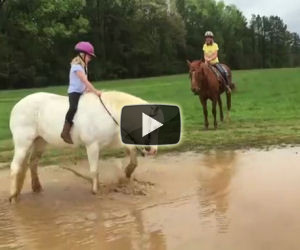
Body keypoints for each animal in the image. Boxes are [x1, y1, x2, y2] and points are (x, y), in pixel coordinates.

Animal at [9, 91, 157, 202]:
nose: (153, 150)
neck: (109, 114)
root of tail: (17, 106)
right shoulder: (92, 145)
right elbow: (94, 170)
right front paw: (96, 190)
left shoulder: (117, 140)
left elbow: (132, 156)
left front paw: (127, 172)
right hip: (23, 143)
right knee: (15, 167)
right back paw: (13, 196)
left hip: (40, 141)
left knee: (33, 163)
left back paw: (37, 188)